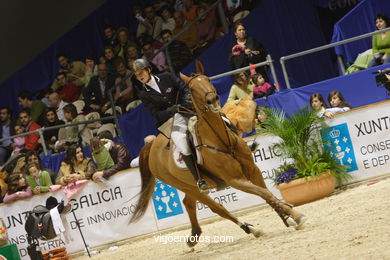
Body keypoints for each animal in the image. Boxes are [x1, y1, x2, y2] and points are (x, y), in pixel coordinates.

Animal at [131, 72, 308, 247]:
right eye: (192, 88)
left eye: (208, 80)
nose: (213, 100)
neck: (220, 139)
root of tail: (152, 146)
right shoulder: (235, 179)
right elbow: (264, 193)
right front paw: (296, 215)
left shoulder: (253, 170)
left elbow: (267, 193)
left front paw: (287, 217)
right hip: (188, 186)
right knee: (217, 208)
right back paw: (251, 229)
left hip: (191, 185)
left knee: (188, 203)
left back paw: (194, 236)